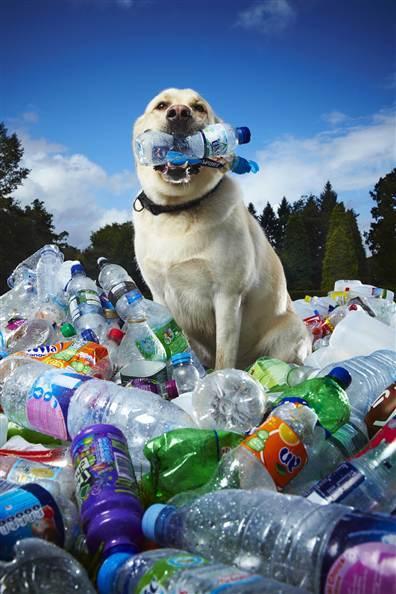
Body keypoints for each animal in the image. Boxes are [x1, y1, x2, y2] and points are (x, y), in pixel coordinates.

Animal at [131, 88, 310, 368]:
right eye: (161, 105)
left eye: (199, 107)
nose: (179, 113)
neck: (178, 209)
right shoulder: (159, 297)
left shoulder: (228, 296)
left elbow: (224, 356)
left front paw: (219, 377)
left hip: (291, 329)